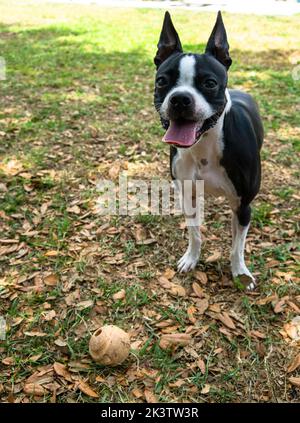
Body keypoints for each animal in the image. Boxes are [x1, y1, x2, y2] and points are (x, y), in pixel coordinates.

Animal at [154, 10, 264, 292]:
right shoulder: (188, 196)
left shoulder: (243, 206)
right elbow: (195, 233)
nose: (180, 99)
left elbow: (237, 247)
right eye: (162, 81)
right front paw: (191, 258)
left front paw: (240, 272)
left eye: (210, 83)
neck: (203, 145)